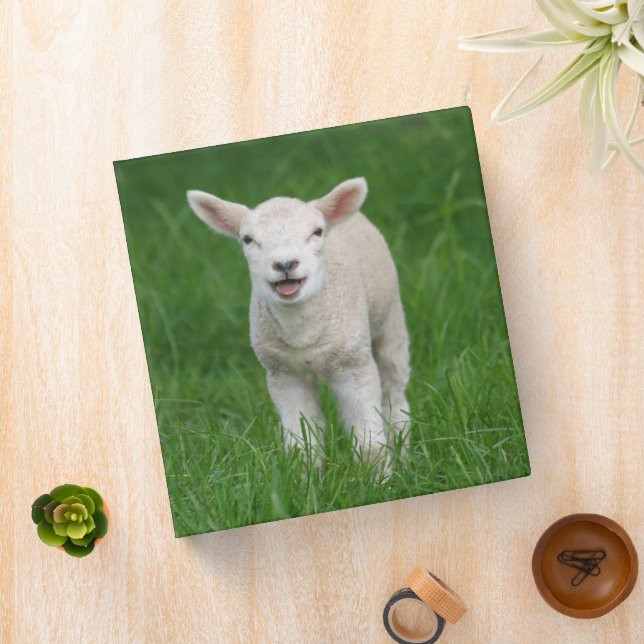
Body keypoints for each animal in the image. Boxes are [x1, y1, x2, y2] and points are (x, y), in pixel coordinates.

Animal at [187, 177, 410, 465]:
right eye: (247, 239)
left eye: (317, 231)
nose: (285, 264)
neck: (301, 333)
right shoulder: (285, 375)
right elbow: (302, 446)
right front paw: (307, 477)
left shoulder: (355, 367)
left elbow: (370, 445)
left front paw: (378, 476)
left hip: (391, 322)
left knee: (395, 397)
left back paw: (405, 455)